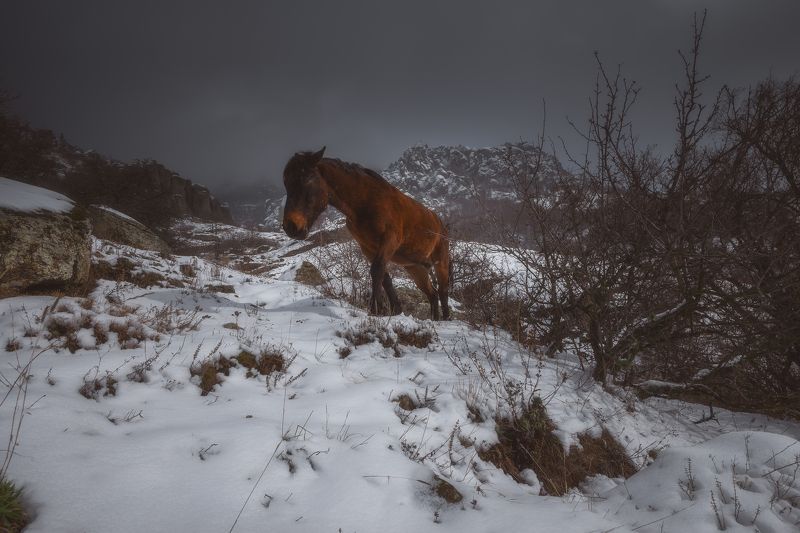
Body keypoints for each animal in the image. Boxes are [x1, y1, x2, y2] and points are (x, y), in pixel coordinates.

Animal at [281, 147, 450, 320]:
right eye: (286, 183)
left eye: (307, 179)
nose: (291, 227)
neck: (366, 202)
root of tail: (440, 223)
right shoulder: (368, 248)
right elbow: (384, 277)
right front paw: (393, 310)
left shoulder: (389, 240)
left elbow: (377, 270)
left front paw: (375, 309)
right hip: (414, 267)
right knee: (432, 294)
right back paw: (435, 319)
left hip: (441, 261)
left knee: (442, 291)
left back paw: (445, 318)